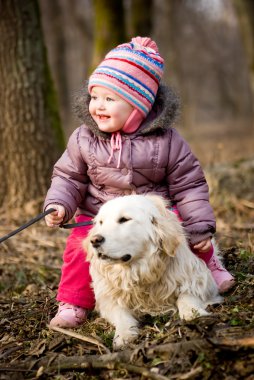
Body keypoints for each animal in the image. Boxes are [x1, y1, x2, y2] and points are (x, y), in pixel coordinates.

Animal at [84, 194, 222, 348]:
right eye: (101, 222)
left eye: (124, 219)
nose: (94, 240)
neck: (139, 271)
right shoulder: (107, 298)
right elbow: (120, 313)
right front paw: (123, 335)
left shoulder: (201, 281)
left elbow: (186, 296)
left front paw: (193, 314)